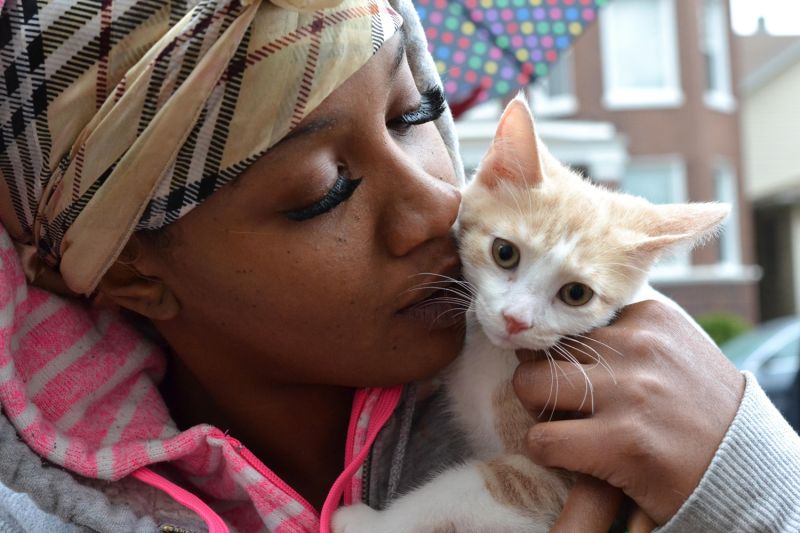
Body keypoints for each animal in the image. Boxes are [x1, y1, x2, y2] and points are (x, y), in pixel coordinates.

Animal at [332, 94, 732, 532]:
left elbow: (471, 488)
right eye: (504, 253)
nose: (516, 319)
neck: (493, 358)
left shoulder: (562, 471)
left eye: (576, 293)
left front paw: (370, 522)